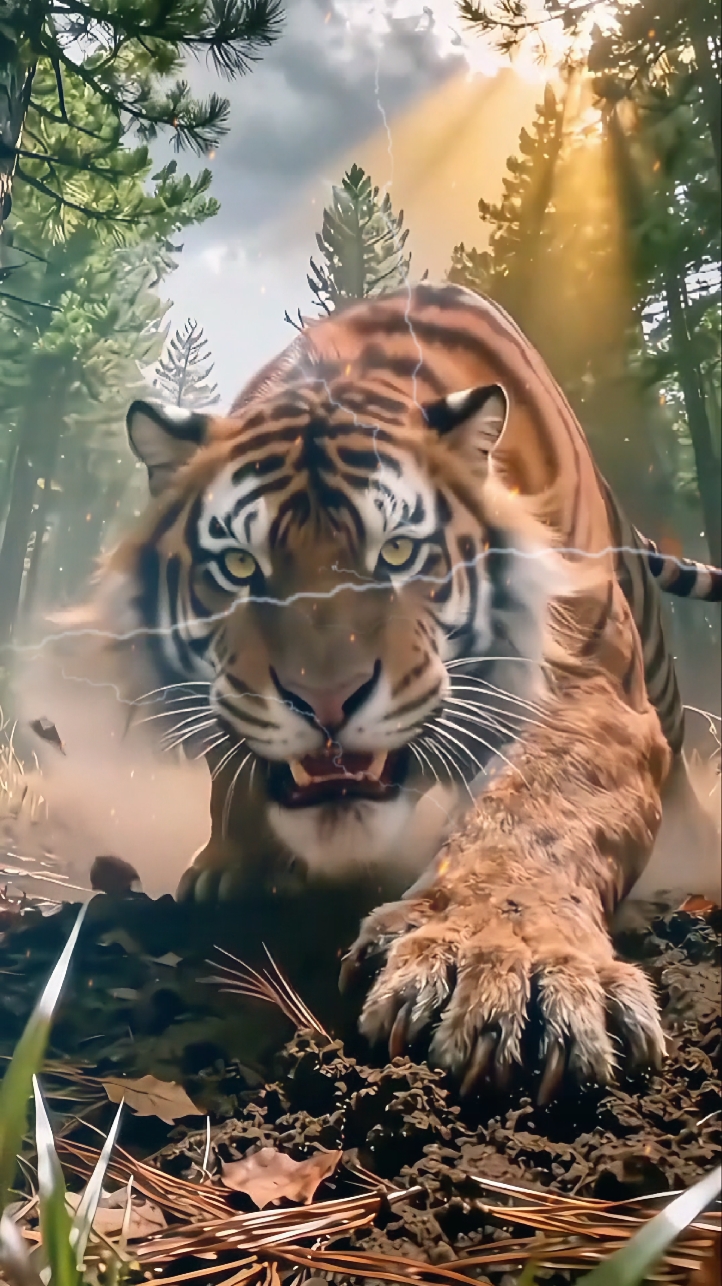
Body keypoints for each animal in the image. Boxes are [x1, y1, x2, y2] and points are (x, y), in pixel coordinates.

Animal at [70, 282, 722, 1100]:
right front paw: (227, 865)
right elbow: (232, 764)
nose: (325, 701)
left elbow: (539, 813)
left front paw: (503, 963)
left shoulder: (588, 687)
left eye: (401, 552)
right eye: (241, 566)